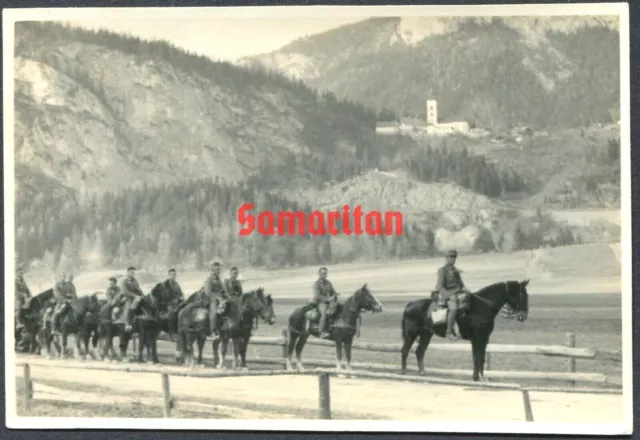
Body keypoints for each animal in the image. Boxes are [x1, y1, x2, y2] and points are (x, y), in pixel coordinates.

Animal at [400, 282, 528, 382]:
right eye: (521, 295)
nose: (524, 316)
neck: (483, 306)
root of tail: (410, 304)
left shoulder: (480, 340)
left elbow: (477, 357)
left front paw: (476, 377)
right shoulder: (479, 339)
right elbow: (479, 357)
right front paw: (481, 378)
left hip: (426, 334)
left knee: (420, 351)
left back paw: (422, 373)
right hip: (411, 333)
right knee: (405, 350)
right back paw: (404, 372)